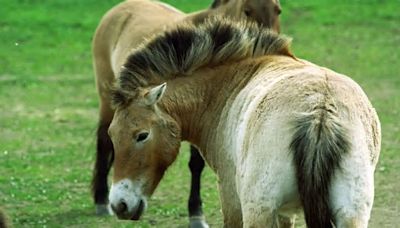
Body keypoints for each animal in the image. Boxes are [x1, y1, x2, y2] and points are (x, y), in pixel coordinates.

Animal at [92, 0, 282, 225]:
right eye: (247, 10)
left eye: (278, 10)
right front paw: (196, 214)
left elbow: (196, 165)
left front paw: (196, 213)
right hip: (106, 100)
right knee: (103, 142)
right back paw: (101, 201)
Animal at [106, 18, 382, 228]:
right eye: (112, 135)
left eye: (142, 135)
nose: (119, 204)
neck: (229, 83)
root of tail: (320, 113)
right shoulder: (285, 214)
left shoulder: (231, 198)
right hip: (352, 214)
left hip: (258, 211)